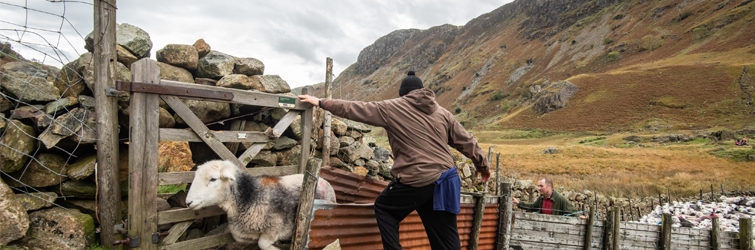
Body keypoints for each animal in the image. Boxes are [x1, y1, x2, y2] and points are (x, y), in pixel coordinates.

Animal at [186, 160, 336, 250]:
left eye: (213, 179)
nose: (188, 202)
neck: (250, 197)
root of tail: (325, 181)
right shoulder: (241, 232)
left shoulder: (276, 226)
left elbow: (262, 244)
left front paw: (275, 247)